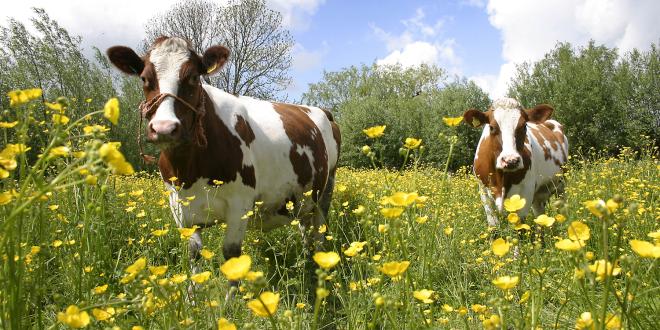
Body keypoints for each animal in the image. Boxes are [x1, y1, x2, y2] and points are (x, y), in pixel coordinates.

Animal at [107, 35, 340, 288]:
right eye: (144, 78)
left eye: (193, 77)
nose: (164, 128)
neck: (190, 171)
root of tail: (321, 110)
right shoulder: (179, 206)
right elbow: (193, 253)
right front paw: (191, 296)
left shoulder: (240, 204)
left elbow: (231, 256)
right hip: (302, 195)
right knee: (304, 226)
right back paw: (307, 260)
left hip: (326, 187)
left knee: (320, 229)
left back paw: (320, 268)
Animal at [464, 96, 568, 226]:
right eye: (491, 127)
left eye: (524, 126)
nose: (511, 160)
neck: (501, 179)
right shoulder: (484, 193)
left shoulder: (526, 192)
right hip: (539, 195)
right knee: (540, 215)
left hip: (562, 184)